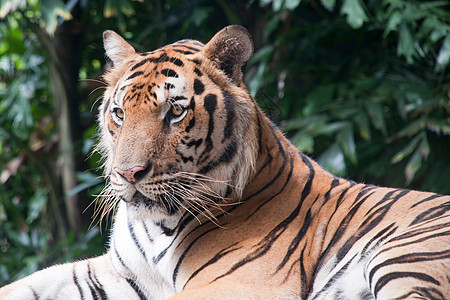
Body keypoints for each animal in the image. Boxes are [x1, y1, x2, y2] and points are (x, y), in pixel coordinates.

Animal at [0, 24, 450, 298]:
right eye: (120, 113)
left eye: (174, 112)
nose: (128, 174)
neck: (157, 227)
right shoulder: (114, 273)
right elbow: (33, 282)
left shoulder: (239, 285)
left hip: (404, 257)